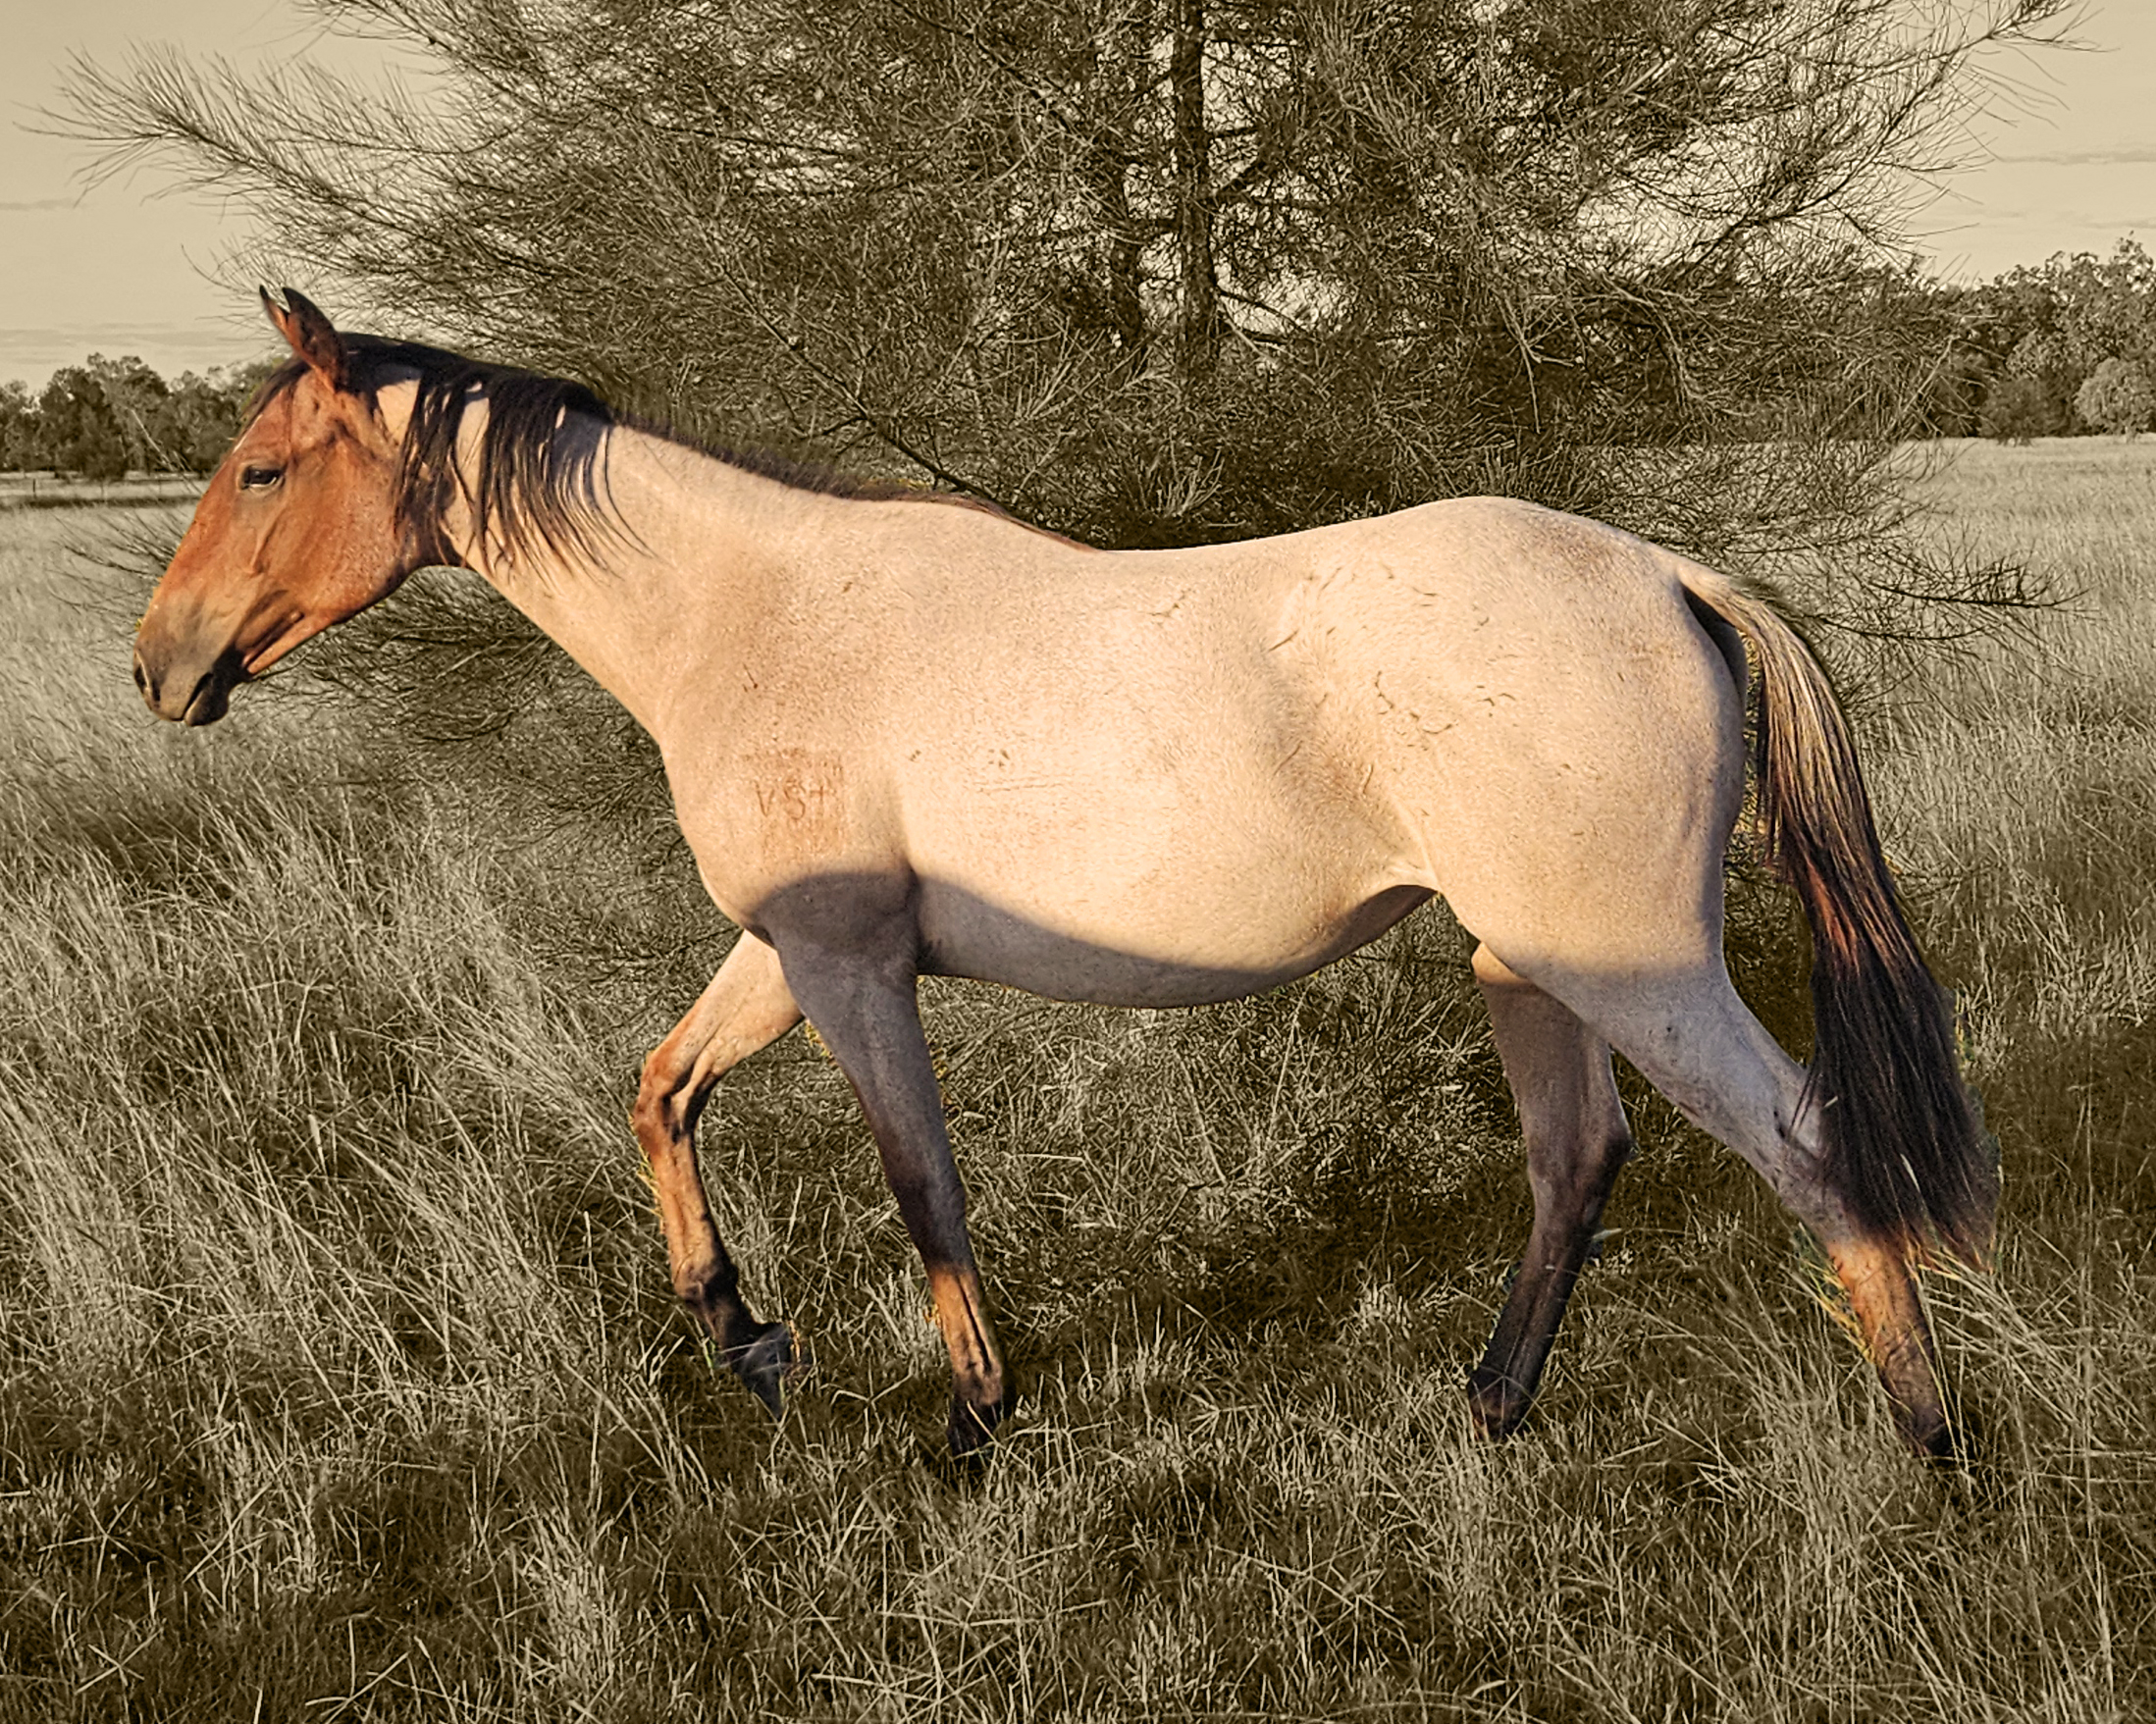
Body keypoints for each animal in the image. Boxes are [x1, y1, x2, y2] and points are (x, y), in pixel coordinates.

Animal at [133, 289, 1993, 1461]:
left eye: (262, 468)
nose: (161, 666)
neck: (754, 611)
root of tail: (1667, 576)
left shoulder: (844, 966)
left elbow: (919, 1182)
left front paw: (971, 1419)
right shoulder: (783, 951)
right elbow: (662, 1090)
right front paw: (740, 1332)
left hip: (1629, 968)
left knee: (1800, 1140)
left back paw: (1931, 1445)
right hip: (1524, 965)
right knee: (1576, 1162)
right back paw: (1485, 1409)